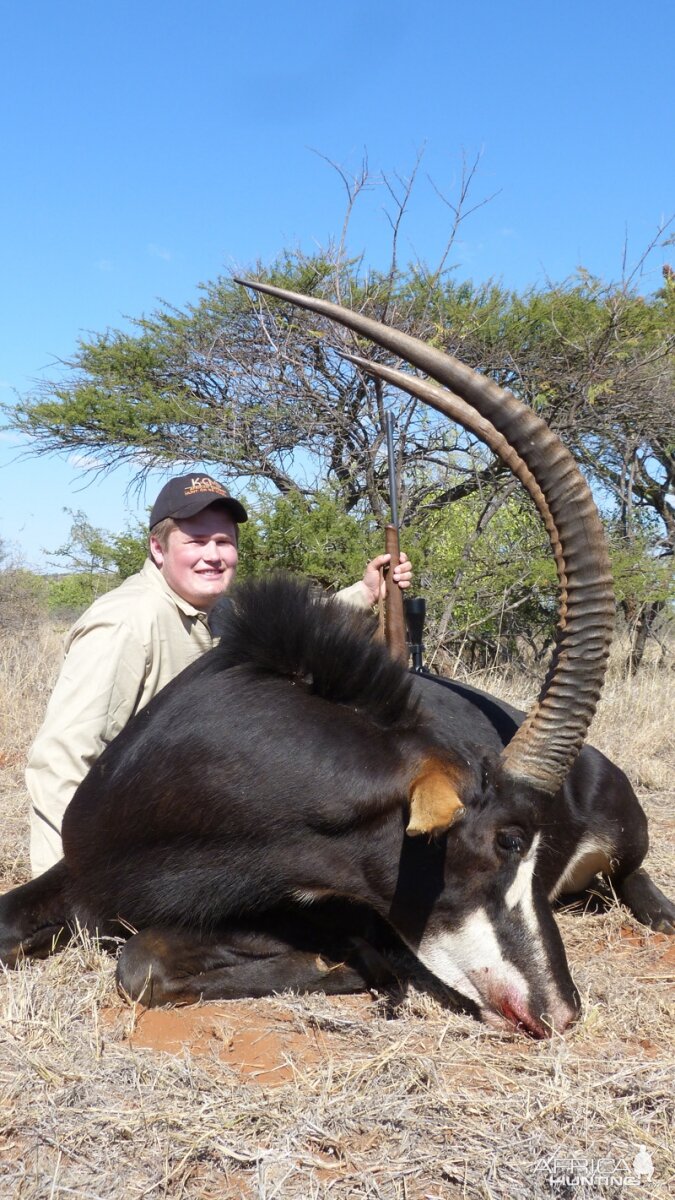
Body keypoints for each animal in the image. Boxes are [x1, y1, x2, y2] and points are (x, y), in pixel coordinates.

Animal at [0, 285, 667, 1036]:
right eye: (506, 840)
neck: (203, 781)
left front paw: (356, 972)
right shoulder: (85, 874)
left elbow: (144, 959)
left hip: (627, 848)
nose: (559, 1010)